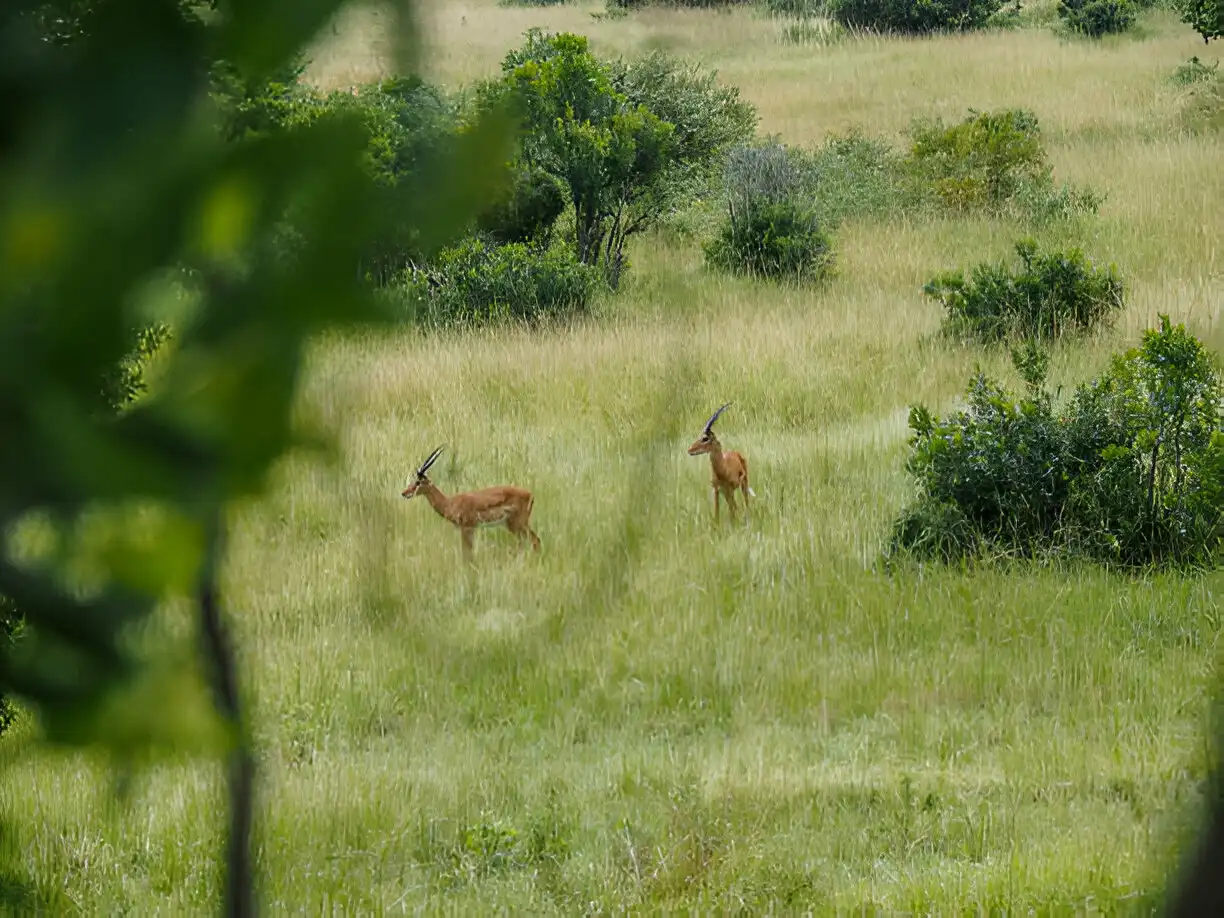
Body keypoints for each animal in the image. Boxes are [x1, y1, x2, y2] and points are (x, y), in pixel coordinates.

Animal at [401, 445, 541, 560]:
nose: (404, 493)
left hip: (518, 523)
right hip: (512, 525)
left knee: (535, 540)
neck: (450, 503)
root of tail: (530, 494)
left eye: (418, 482)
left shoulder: (467, 528)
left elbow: (467, 554)